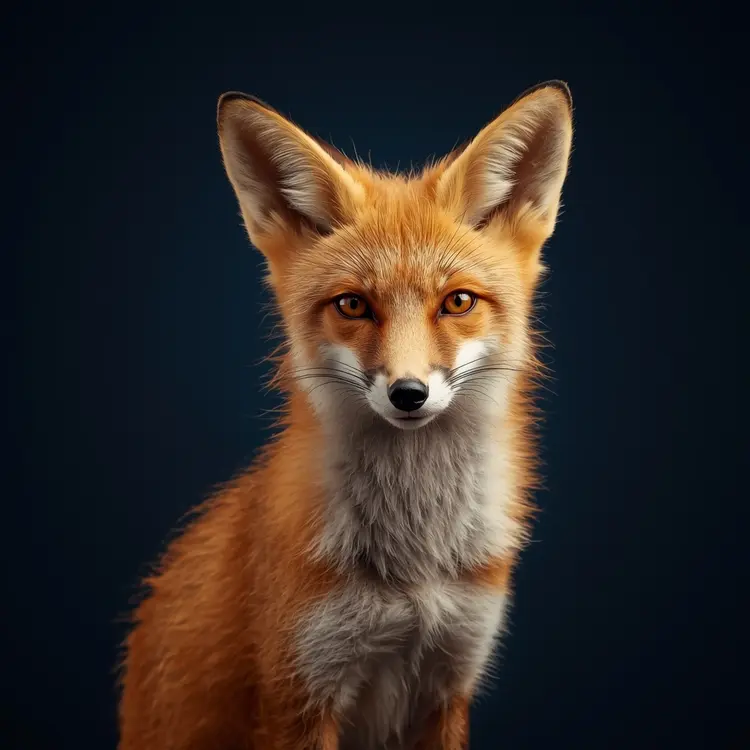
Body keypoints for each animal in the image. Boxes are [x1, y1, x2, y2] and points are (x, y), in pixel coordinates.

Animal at [117, 80, 574, 750]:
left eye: (457, 301)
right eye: (353, 305)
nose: (409, 393)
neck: (415, 567)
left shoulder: (450, 680)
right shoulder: (298, 694)